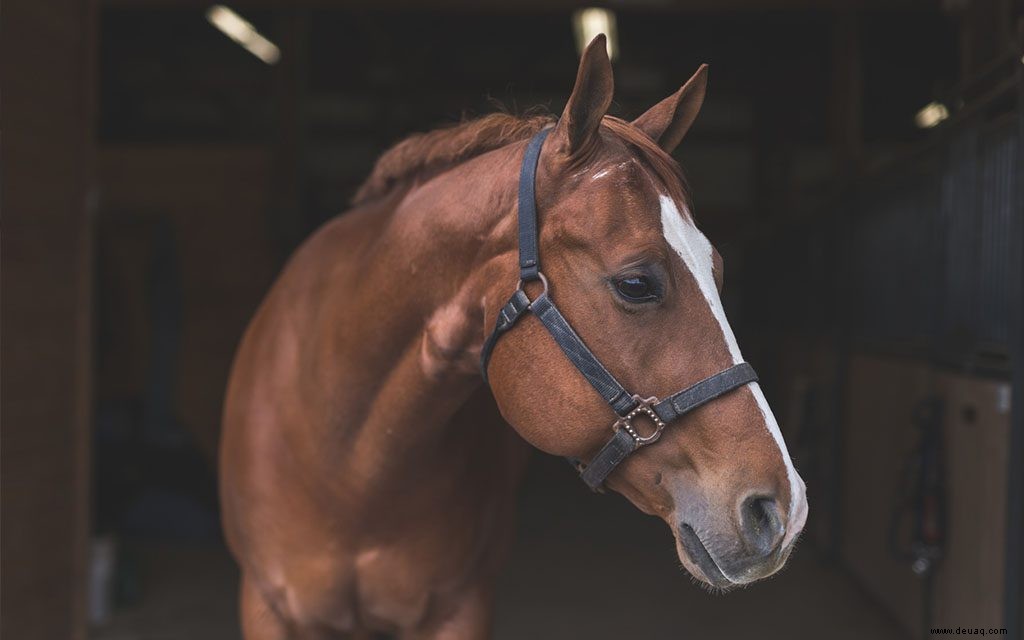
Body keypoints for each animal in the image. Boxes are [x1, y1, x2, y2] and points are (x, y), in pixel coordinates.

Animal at [222, 36, 806, 638]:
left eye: (718, 270)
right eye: (636, 283)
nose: (781, 511)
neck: (353, 471)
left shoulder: (460, 608)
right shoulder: (268, 607)